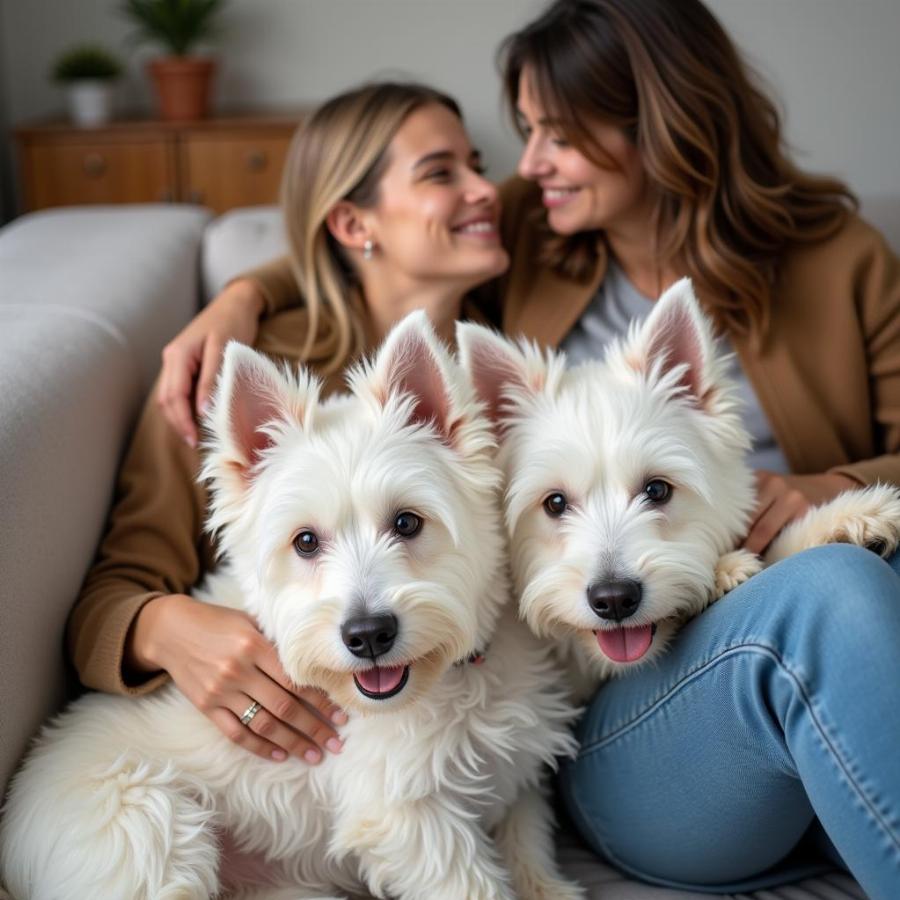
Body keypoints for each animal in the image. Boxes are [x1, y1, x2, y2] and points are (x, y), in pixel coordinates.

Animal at [1, 312, 584, 900]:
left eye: (407, 522)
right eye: (305, 542)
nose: (368, 635)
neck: (452, 681)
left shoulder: (515, 779)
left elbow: (528, 853)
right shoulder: (406, 818)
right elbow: (475, 884)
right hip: (147, 829)